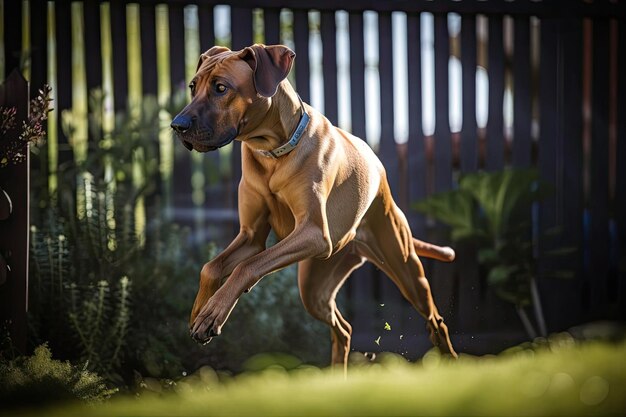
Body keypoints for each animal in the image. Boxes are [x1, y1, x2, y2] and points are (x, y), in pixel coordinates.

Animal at [171, 44, 458, 370]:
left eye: (221, 88)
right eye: (193, 87)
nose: (176, 125)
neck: (272, 151)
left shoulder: (313, 234)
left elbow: (248, 266)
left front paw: (212, 312)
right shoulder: (251, 237)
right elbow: (212, 266)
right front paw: (200, 310)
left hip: (406, 269)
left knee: (435, 320)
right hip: (313, 287)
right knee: (343, 329)